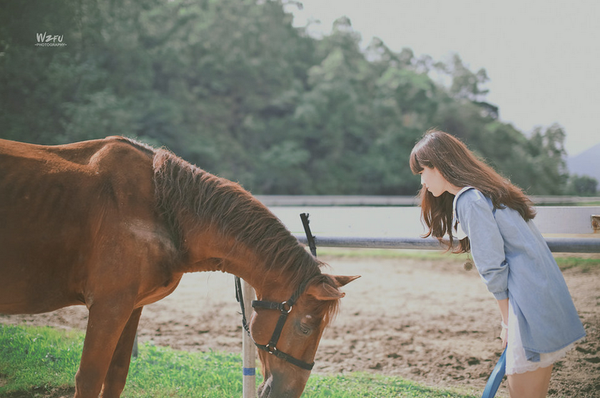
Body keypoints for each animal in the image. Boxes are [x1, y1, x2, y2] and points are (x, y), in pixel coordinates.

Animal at [0, 138, 356, 398]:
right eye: (306, 328)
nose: (287, 394)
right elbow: (88, 379)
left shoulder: (129, 309)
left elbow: (114, 378)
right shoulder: (107, 308)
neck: (161, 209)